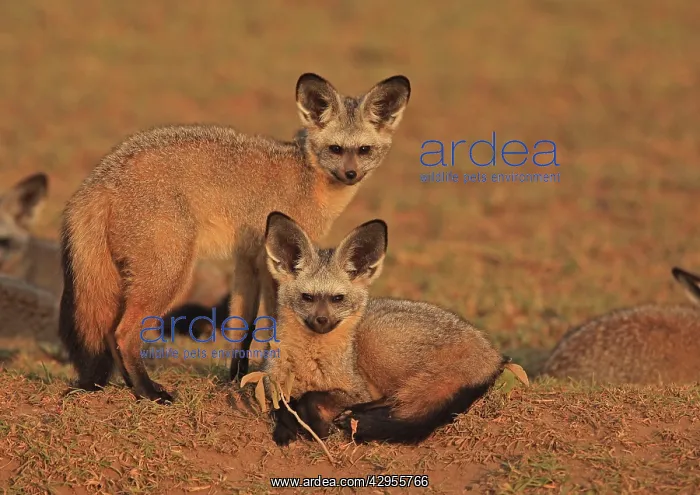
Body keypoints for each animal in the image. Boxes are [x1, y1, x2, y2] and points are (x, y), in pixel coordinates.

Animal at [58, 73, 411, 403]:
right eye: (336, 149)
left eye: (364, 150)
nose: (351, 174)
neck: (308, 178)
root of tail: (102, 178)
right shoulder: (276, 264)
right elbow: (272, 323)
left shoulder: (248, 259)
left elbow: (243, 325)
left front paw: (237, 378)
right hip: (171, 276)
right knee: (123, 333)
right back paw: (148, 391)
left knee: (108, 332)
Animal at [258, 212, 508, 445]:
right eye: (307, 297)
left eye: (337, 298)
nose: (321, 320)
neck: (311, 365)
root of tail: (491, 353)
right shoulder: (273, 387)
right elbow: (284, 406)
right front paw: (286, 429)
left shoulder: (357, 390)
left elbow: (311, 398)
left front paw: (318, 425)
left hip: (375, 341)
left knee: (395, 398)